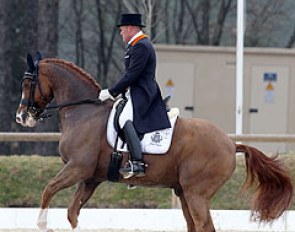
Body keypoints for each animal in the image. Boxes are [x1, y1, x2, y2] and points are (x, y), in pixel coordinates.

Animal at [15, 53, 294, 232]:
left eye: (28, 82)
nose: (21, 117)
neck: (84, 112)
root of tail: (231, 144)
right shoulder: (90, 178)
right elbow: (72, 214)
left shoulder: (77, 168)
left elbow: (48, 189)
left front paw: (42, 224)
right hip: (184, 193)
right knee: (195, 227)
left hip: (196, 194)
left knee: (205, 226)